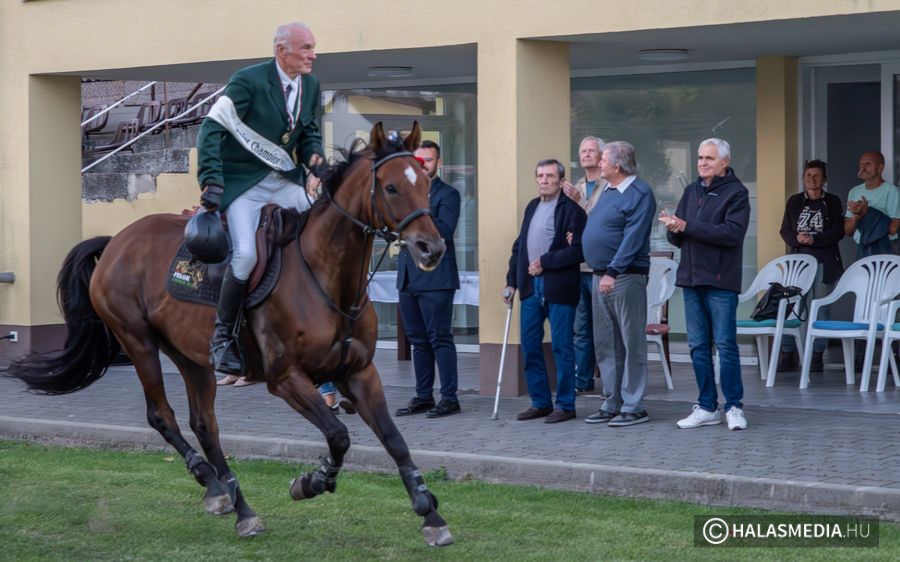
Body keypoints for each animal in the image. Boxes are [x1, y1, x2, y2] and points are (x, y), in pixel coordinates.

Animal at [6, 121, 454, 544]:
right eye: (392, 187)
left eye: (426, 182)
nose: (431, 249)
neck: (326, 277)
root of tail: (118, 240)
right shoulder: (287, 378)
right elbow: (338, 434)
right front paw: (311, 482)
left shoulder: (359, 372)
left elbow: (393, 439)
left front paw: (430, 513)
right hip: (139, 343)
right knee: (162, 415)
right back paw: (215, 484)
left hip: (191, 356)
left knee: (205, 425)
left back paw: (233, 501)